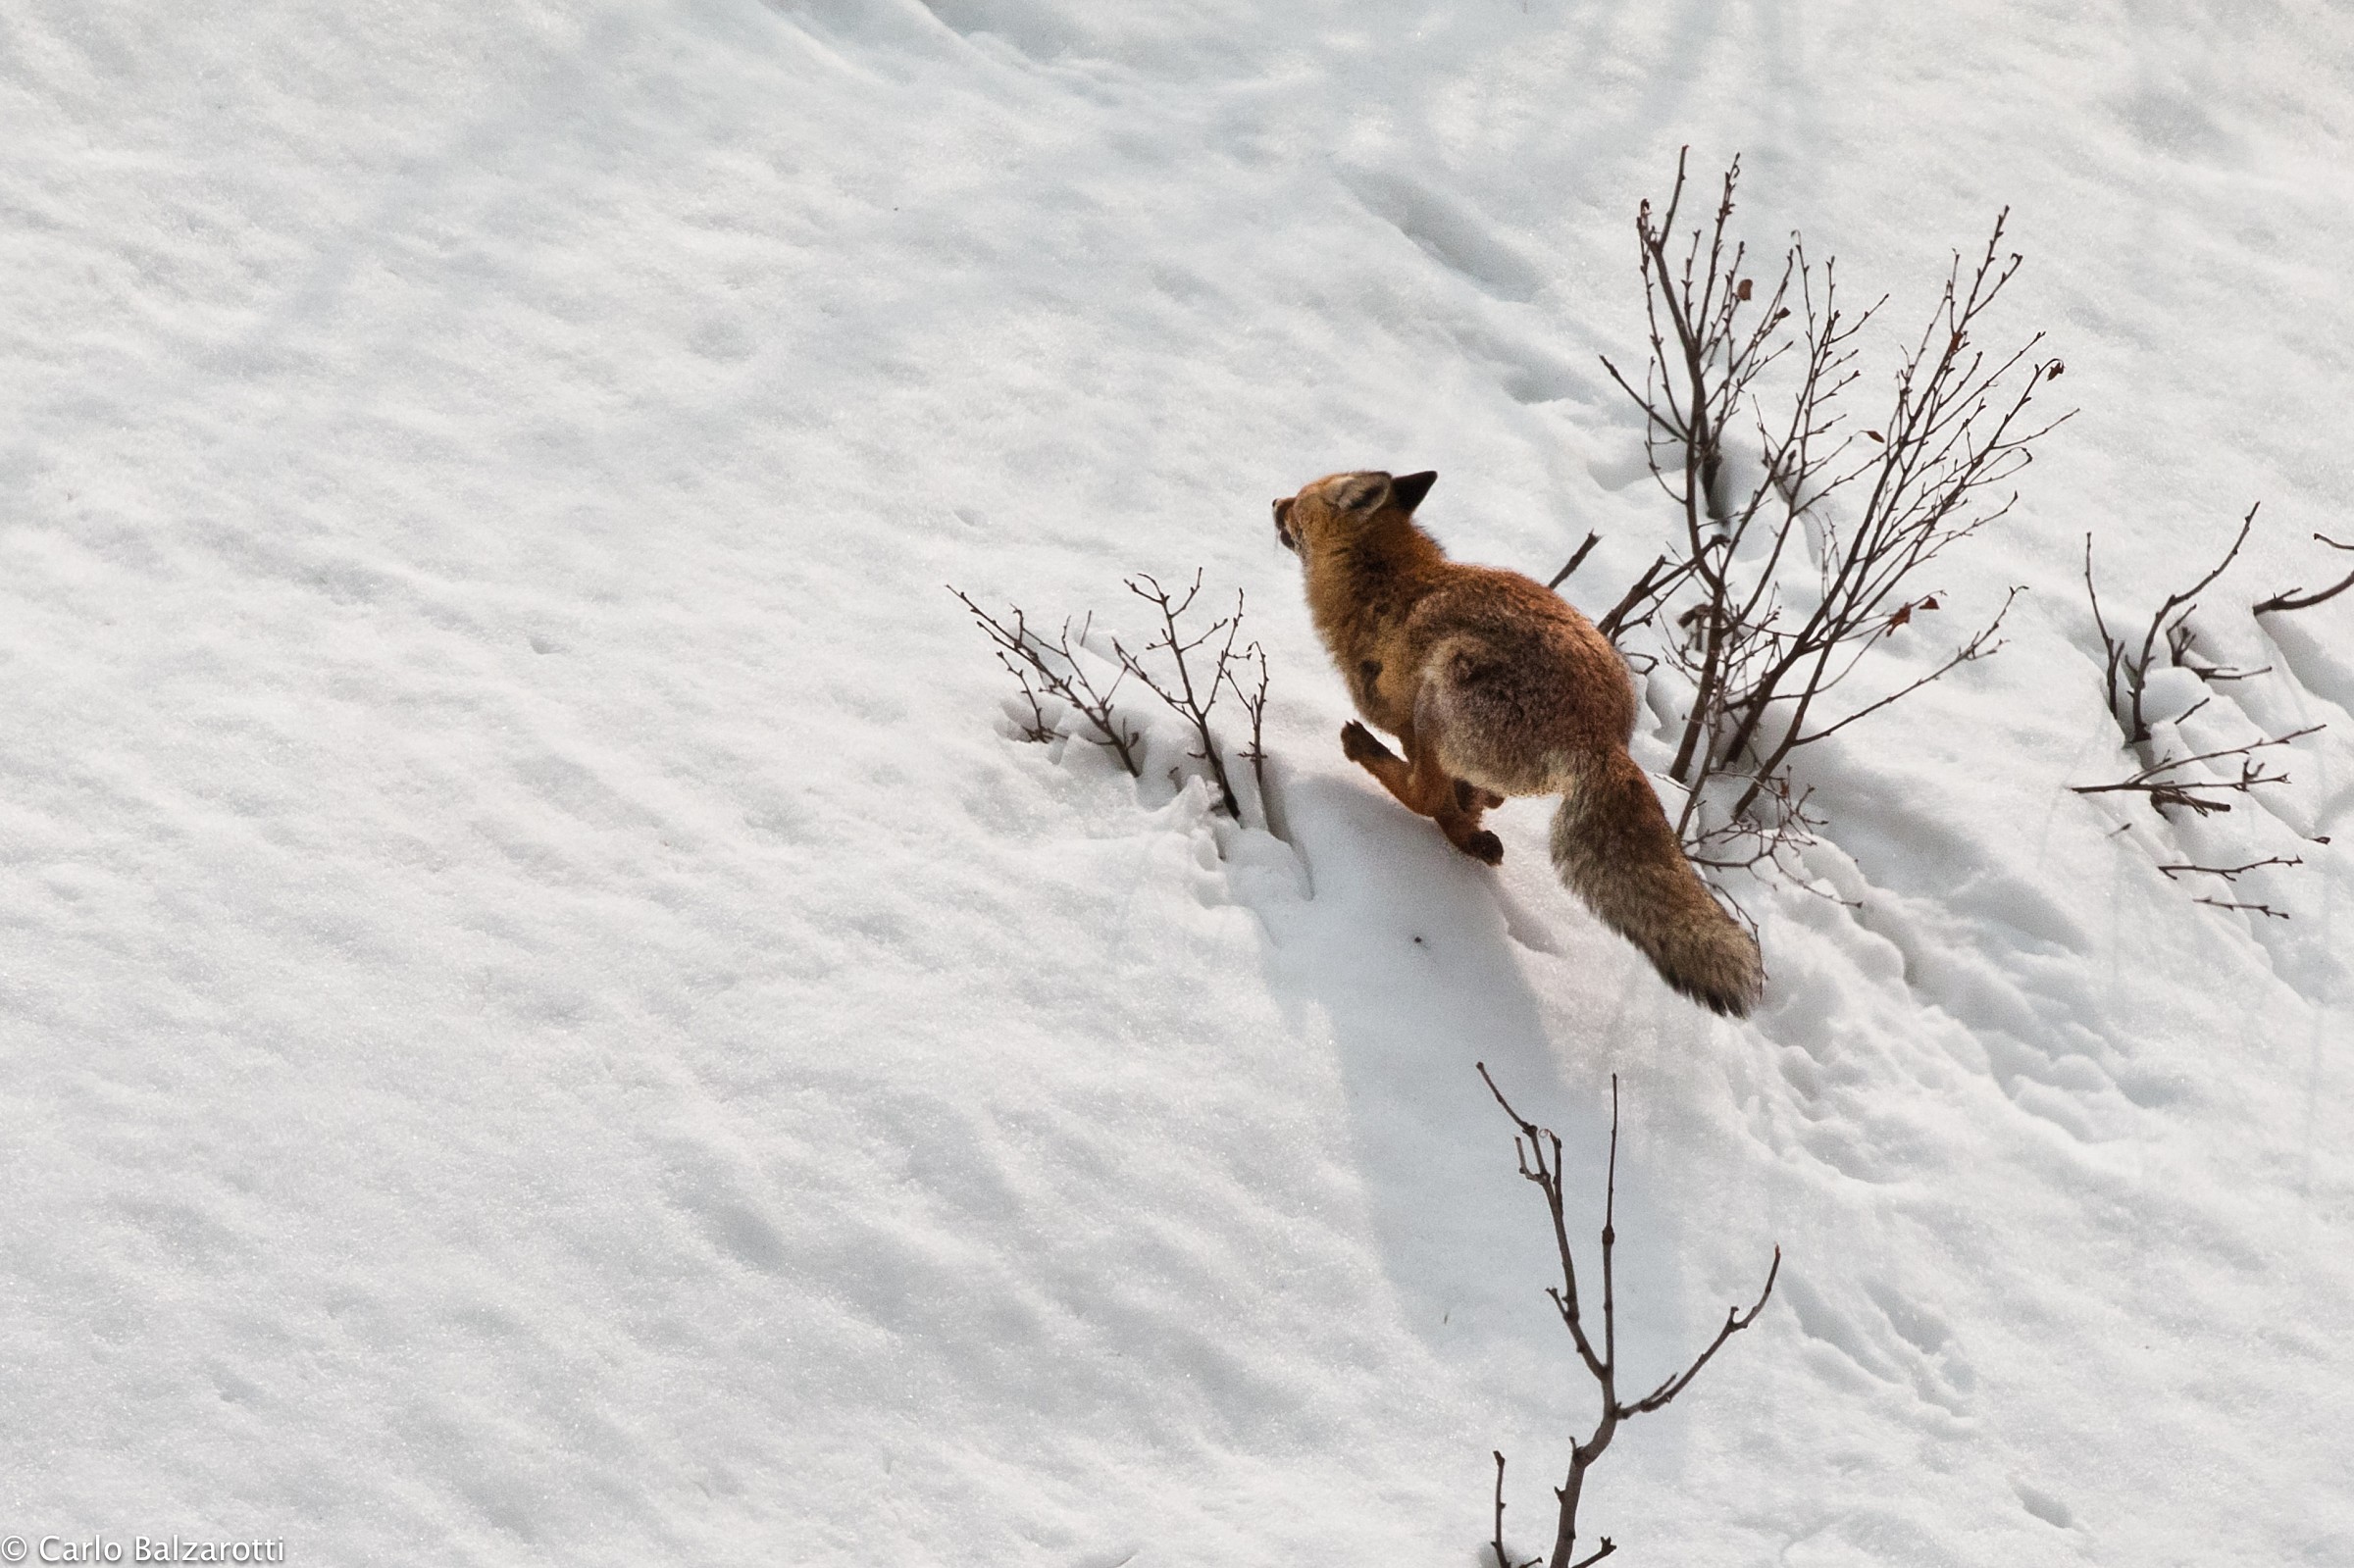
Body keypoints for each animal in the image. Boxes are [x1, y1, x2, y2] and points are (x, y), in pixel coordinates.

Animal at [1272, 469, 1763, 1016]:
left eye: (1298, 501)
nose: (1274, 502)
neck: (1385, 583)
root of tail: (1600, 737)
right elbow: (1468, 801)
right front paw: (1472, 822)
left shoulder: (1404, 718)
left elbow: (1435, 795)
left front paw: (1459, 822)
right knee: (1482, 797)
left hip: (1440, 692)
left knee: (1423, 794)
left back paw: (1370, 755)